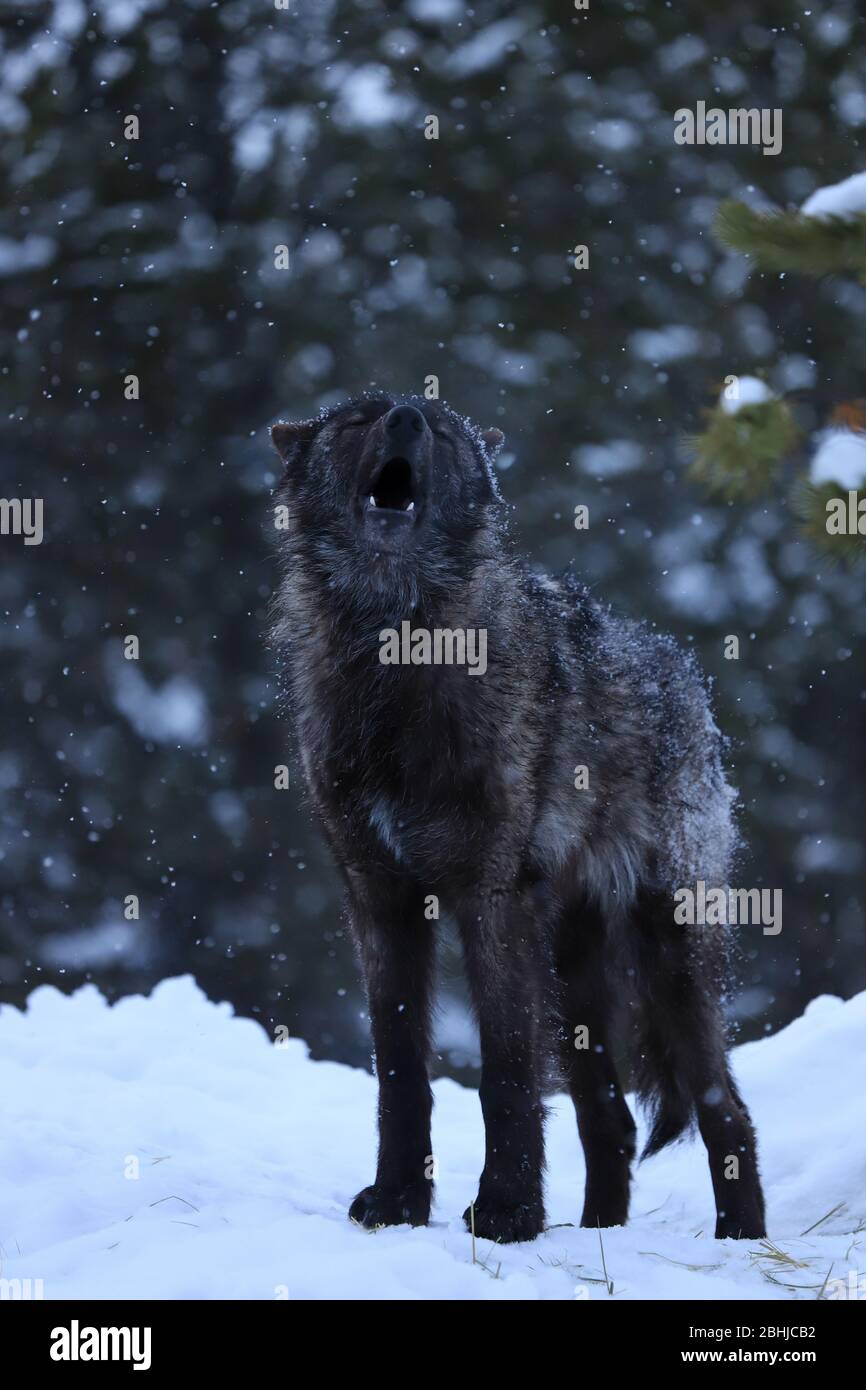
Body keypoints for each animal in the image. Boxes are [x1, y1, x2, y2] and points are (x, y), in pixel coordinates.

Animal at [269, 394, 766, 1244]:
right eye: (360, 416)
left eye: (438, 427)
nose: (406, 416)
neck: (396, 649)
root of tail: (683, 676)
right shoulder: (379, 903)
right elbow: (399, 1071)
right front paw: (398, 1204)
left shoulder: (489, 900)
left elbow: (503, 1073)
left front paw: (506, 1212)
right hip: (574, 976)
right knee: (612, 1121)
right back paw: (600, 1233)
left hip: (667, 958)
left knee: (724, 1108)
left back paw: (742, 1242)